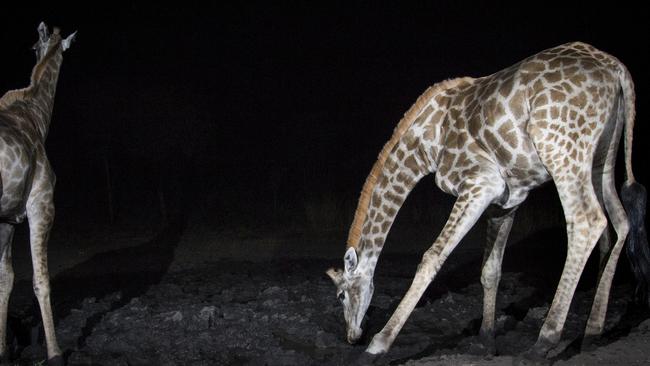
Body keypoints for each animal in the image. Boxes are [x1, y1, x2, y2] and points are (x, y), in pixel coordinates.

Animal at [326, 41, 644, 362]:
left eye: (341, 294)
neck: (424, 146)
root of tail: (617, 69)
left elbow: (431, 258)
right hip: (602, 156)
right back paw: (592, 333)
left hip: (562, 151)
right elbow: (490, 270)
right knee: (619, 222)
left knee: (587, 221)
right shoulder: (506, 201)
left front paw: (377, 345)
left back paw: (544, 340)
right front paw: (486, 339)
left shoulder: (480, 185)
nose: (352, 336)